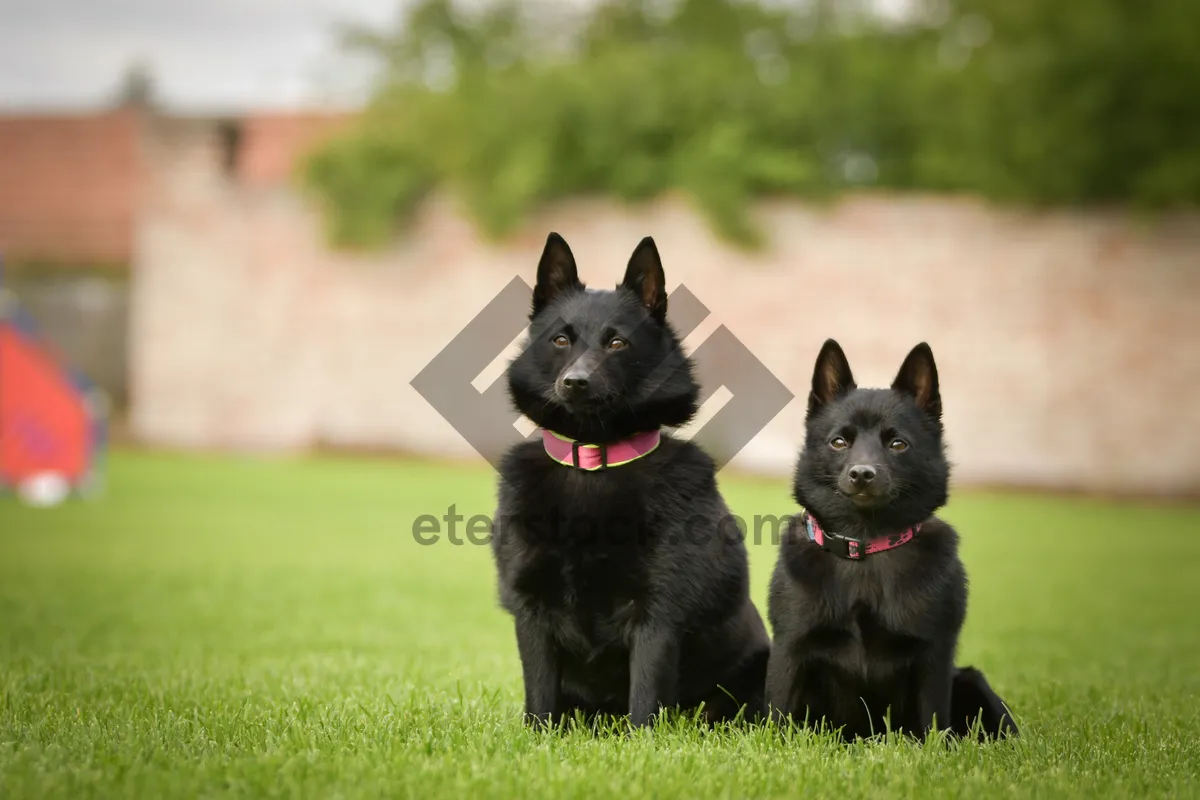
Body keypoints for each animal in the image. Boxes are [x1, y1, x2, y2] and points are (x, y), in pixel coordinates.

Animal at [487, 232, 768, 734]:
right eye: (561, 339)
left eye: (616, 342)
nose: (575, 382)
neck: (593, 462)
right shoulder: (531, 608)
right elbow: (540, 700)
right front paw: (537, 739)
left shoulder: (659, 614)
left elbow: (645, 700)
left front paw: (643, 745)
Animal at [763, 340, 1017, 743]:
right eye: (839, 441)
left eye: (898, 444)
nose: (862, 474)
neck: (866, 544)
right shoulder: (790, 647)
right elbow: (777, 716)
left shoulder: (934, 655)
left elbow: (933, 724)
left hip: (973, 681)